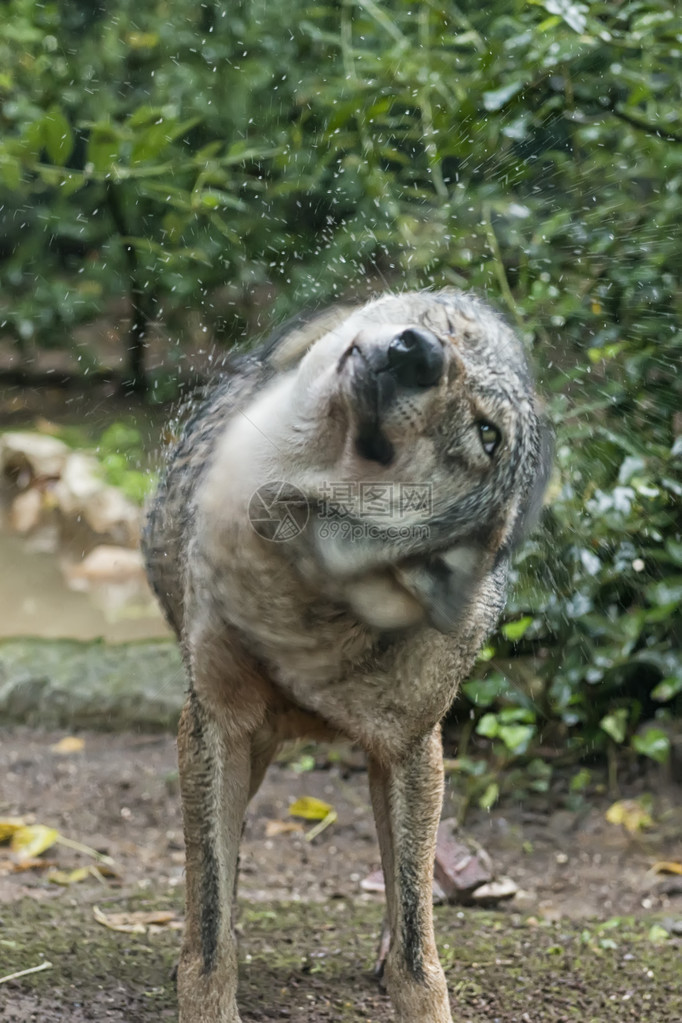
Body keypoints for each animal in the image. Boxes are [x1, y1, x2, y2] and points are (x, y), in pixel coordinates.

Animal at [141, 288, 552, 1023]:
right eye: (451, 332)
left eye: (488, 435)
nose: (418, 348)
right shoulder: (216, 725)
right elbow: (211, 925)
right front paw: (209, 983)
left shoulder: (411, 746)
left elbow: (418, 943)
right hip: (250, 748)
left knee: (405, 879)